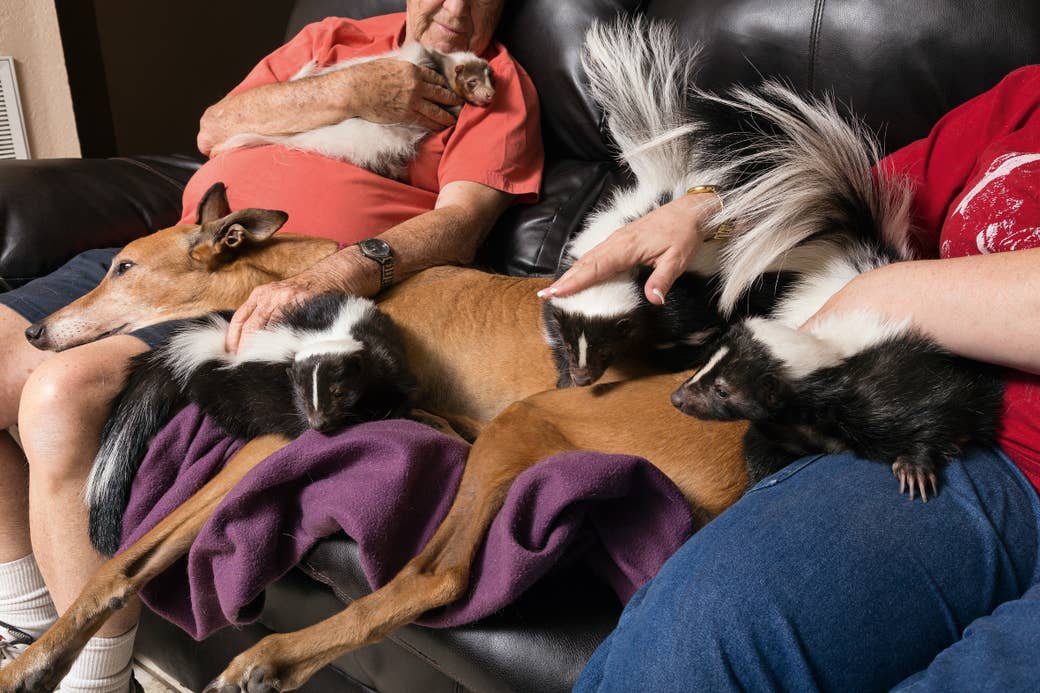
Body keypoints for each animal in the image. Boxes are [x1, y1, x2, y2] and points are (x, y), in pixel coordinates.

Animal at [85, 291, 416, 549]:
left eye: (338, 391)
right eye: (301, 393)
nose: (319, 424)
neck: (330, 334)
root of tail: (205, 341)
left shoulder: (381, 353)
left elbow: (395, 382)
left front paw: (392, 408)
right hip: (225, 391)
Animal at [673, 312, 1006, 497]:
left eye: (722, 391)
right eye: (703, 365)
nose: (677, 397)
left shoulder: (875, 397)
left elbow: (930, 413)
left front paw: (914, 467)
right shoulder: (778, 429)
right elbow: (759, 450)